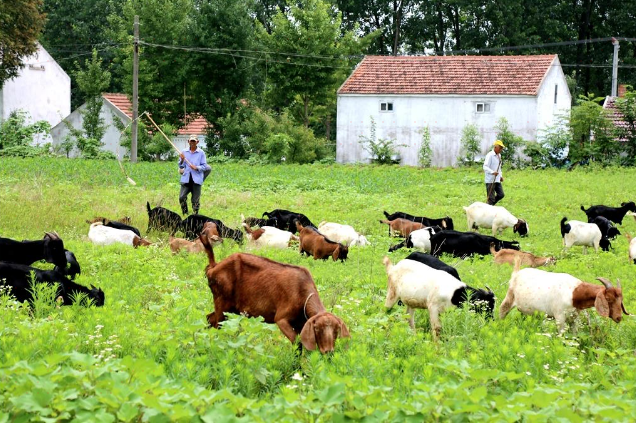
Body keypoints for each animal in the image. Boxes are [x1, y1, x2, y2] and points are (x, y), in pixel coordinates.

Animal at [199, 225, 350, 354]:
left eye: (336, 330)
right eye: (317, 328)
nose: (328, 351)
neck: (301, 291)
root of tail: (213, 267)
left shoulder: (301, 323)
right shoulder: (281, 318)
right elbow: (298, 343)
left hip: (230, 308)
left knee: (209, 318)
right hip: (221, 303)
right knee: (216, 322)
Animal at [502, 258, 632, 334]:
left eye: (621, 300)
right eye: (608, 299)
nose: (618, 318)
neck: (574, 293)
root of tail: (516, 273)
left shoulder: (574, 319)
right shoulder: (560, 318)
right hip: (509, 298)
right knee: (502, 311)